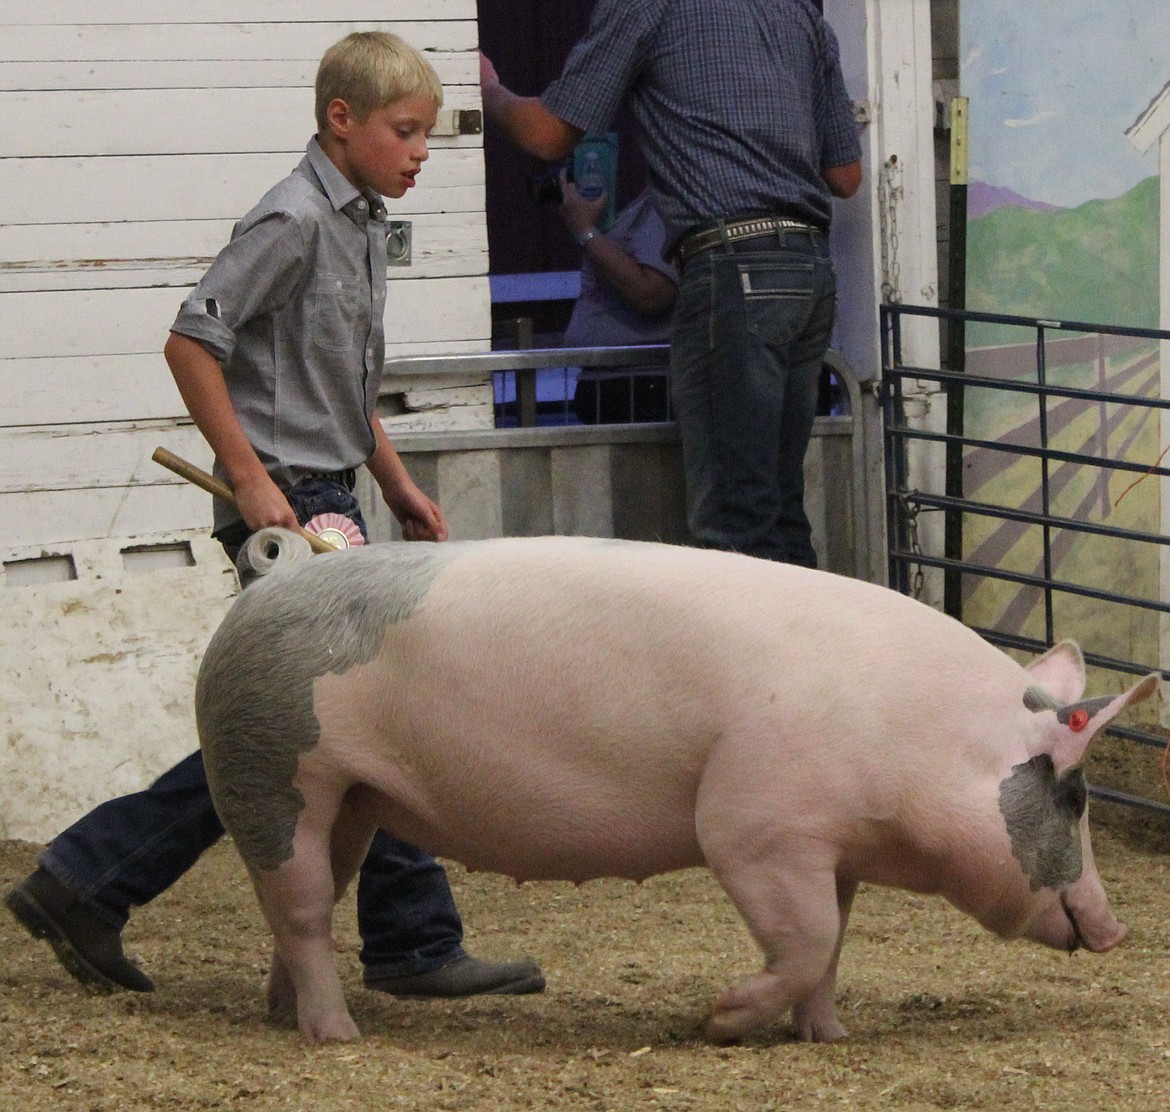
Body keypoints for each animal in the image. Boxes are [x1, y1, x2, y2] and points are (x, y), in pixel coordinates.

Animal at [196, 531, 1155, 1044]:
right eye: (1074, 798)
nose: (1117, 931)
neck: (917, 737)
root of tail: (275, 577)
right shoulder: (755, 826)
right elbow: (805, 938)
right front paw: (720, 1020)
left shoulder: (831, 846)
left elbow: (832, 943)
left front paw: (828, 1035)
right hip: (269, 766)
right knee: (302, 907)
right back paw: (336, 1035)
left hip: (351, 798)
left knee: (310, 899)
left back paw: (287, 1015)